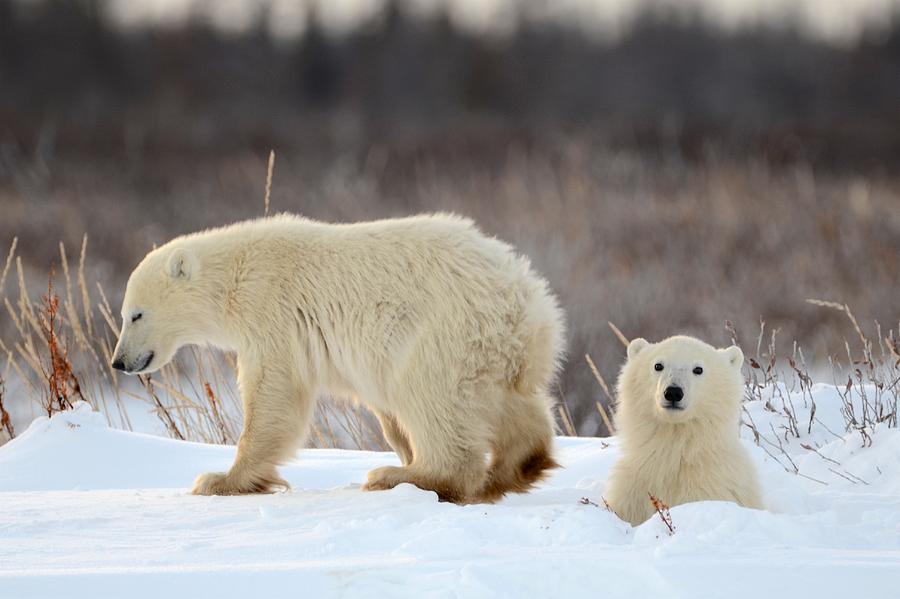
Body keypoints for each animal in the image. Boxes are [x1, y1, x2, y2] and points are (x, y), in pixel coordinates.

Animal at [110, 213, 564, 504]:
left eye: (136, 314)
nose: (119, 361)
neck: (236, 274)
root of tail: (524, 301)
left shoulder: (271, 311)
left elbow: (273, 394)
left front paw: (220, 479)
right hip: (501, 350)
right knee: (516, 403)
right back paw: (514, 468)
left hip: (443, 331)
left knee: (430, 397)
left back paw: (398, 476)